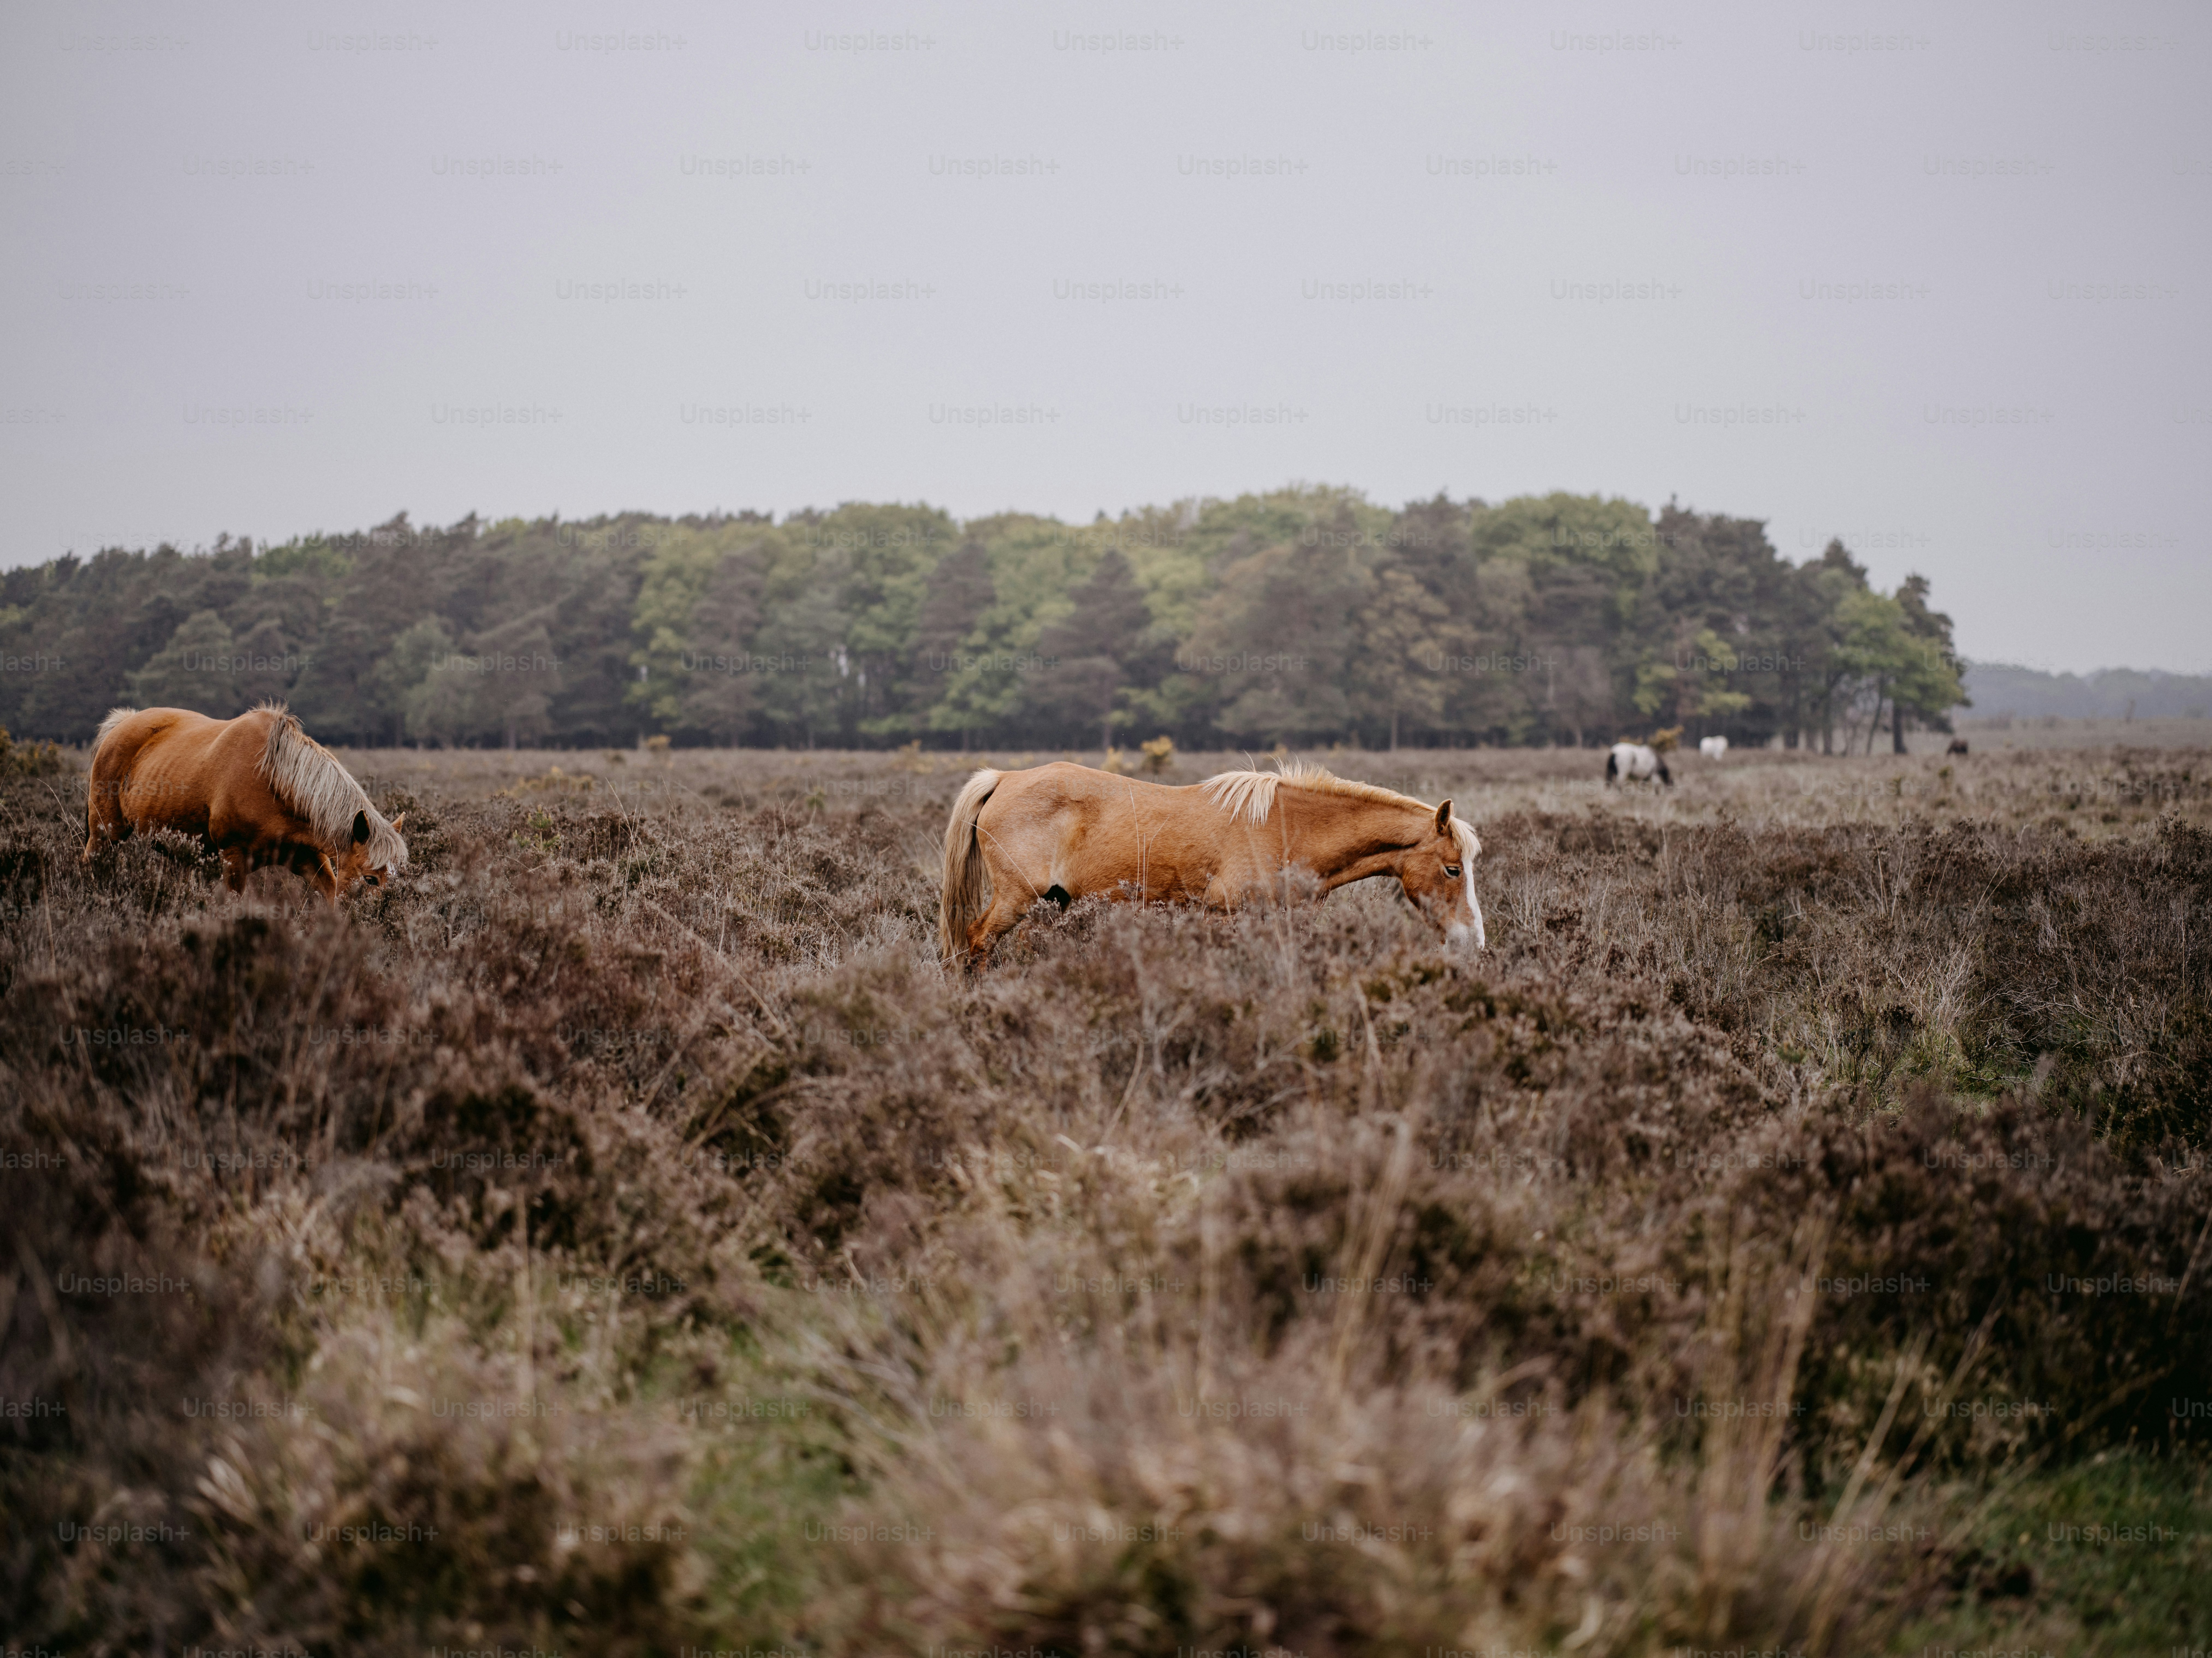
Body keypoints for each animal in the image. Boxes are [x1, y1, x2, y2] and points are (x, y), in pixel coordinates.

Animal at [84, 702, 407, 904]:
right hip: (105, 832)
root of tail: (123, 723)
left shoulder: (307, 858)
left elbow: (331, 896)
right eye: (371, 879)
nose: (383, 919)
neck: (274, 781)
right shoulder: (234, 858)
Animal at [938, 758, 1483, 970]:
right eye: (1452, 869)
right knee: (976, 941)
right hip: (1016, 899)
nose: (1472, 942)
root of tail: (1005, 777)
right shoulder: (1229, 917)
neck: (1288, 827)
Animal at [1605, 742, 1672, 787]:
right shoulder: (1655, 774)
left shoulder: (1645, 778)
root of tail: (1614, 752)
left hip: (1611, 771)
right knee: (1619, 785)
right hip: (1623, 773)